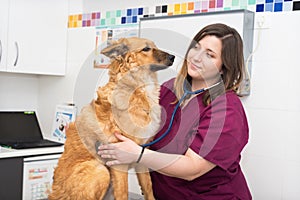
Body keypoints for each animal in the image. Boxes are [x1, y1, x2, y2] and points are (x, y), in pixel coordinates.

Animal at [48, 36, 175, 199]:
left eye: (156, 46)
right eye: (146, 49)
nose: (173, 57)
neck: (137, 91)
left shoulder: (141, 155)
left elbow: (148, 188)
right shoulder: (119, 161)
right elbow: (123, 193)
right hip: (101, 170)